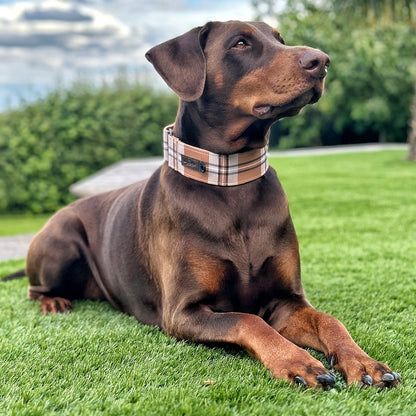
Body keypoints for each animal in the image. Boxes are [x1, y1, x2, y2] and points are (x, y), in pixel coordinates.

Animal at [8, 21, 400, 388]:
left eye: (280, 39)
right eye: (240, 43)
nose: (321, 61)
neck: (231, 180)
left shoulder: (287, 301)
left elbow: (329, 320)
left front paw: (363, 362)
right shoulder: (184, 312)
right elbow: (249, 320)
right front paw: (296, 362)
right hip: (61, 243)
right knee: (34, 288)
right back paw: (54, 302)